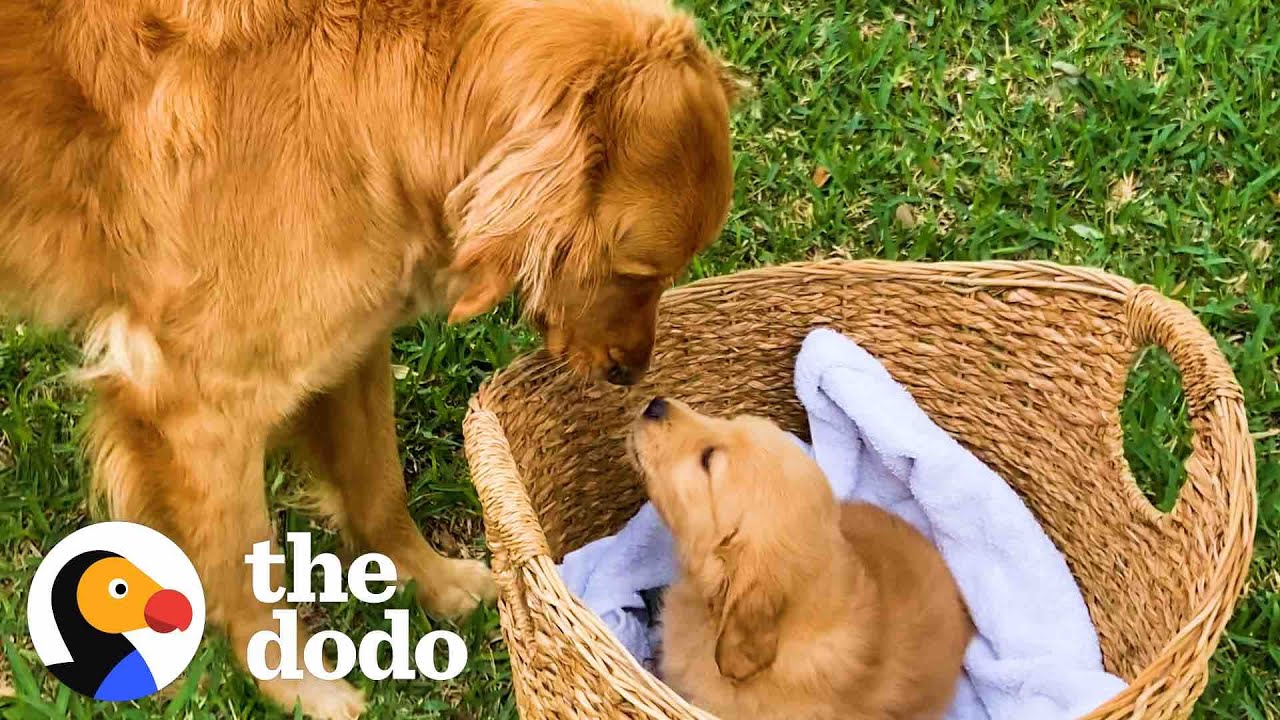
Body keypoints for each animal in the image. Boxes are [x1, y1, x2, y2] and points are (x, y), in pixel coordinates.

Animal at [0, 0, 737, 712]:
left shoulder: (353, 337)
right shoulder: (200, 403)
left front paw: (429, 581)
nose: (629, 374)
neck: (373, 95)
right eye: (636, 272)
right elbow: (246, 570)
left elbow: (378, 485)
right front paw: (300, 687)